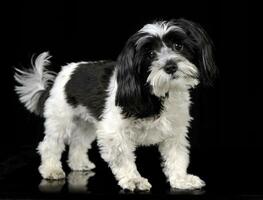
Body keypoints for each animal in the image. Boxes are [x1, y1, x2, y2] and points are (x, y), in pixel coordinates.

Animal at [14, 19, 218, 192]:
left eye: (178, 46)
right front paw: (134, 179)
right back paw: (51, 169)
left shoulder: (174, 133)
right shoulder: (114, 132)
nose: (170, 66)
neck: (156, 95)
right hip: (60, 119)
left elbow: (177, 157)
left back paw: (79, 164)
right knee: (50, 144)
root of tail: (62, 75)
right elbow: (123, 158)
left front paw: (181, 179)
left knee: (78, 142)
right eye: (150, 54)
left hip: (86, 123)